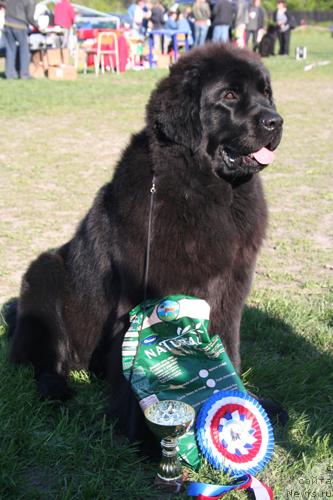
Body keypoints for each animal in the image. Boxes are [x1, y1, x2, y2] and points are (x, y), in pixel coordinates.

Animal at [7, 44, 282, 446]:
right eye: (230, 95)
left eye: (266, 93)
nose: (276, 121)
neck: (205, 191)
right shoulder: (144, 294)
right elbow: (136, 366)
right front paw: (144, 437)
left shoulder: (232, 288)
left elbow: (229, 347)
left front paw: (245, 403)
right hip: (43, 276)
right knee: (42, 361)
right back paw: (56, 390)